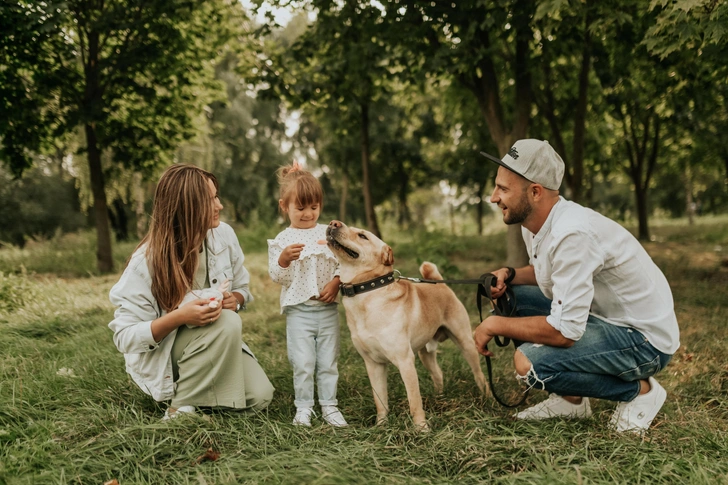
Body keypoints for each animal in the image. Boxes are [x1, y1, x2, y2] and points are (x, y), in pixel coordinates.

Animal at [328, 219, 486, 428]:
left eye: (362, 235)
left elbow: (414, 401)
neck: (368, 293)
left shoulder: (405, 361)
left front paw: (421, 428)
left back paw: (487, 399)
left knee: (479, 374)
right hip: (425, 354)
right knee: (438, 374)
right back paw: (439, 398)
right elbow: (380, 401)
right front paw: (381, 425)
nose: (333, 223)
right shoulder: (373, 364)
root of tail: (440, 284)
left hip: (465, 343)